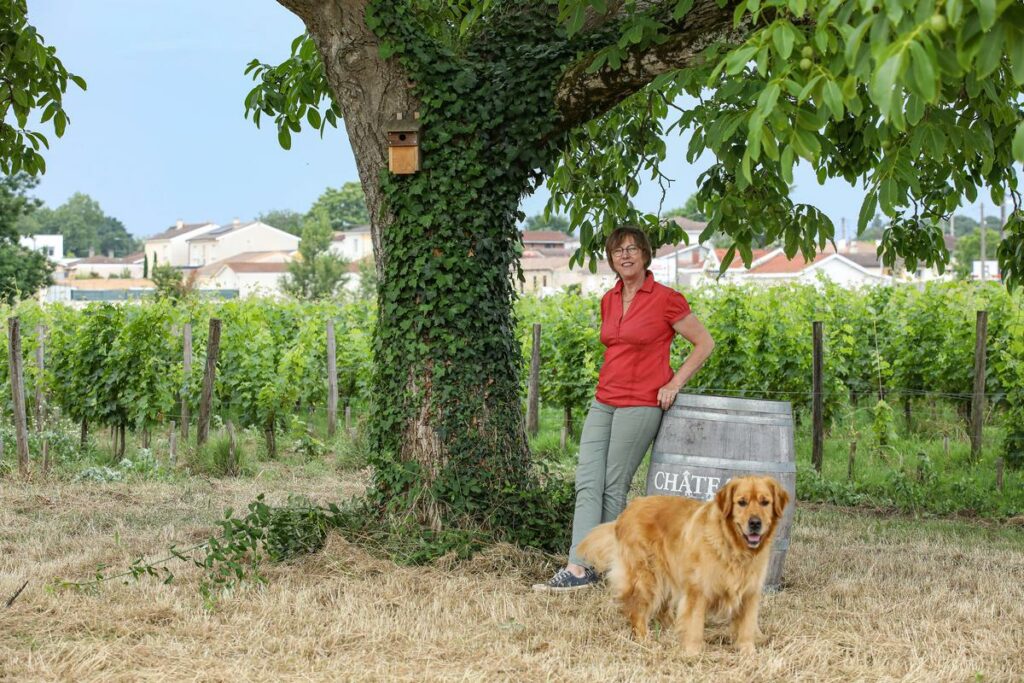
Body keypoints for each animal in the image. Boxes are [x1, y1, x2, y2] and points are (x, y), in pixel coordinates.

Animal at [581, 475, 786, 655]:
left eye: (765, 502)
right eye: (741, 502)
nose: (755, 523)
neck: (733, 546)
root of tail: (628, 509)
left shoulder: (750, 592)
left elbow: (746, 626)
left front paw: (748, 652)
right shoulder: (698, 590)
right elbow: (694, 624)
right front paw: (692, 652)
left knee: (663, 609)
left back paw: (673, 629)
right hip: (647, 577)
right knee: (637, 609)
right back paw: (645, 639)